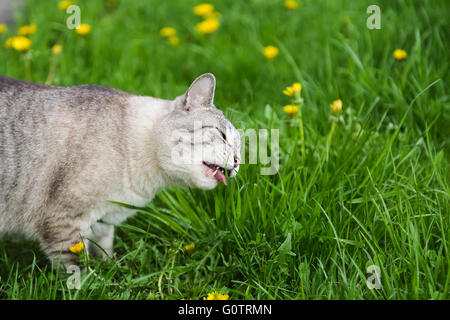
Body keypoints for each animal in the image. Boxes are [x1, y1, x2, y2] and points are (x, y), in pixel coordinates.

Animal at [0, 72, 243, 268]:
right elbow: (77, 271)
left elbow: (105, 253)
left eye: (239, 147)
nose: (237, 162)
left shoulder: (103, 222)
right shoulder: (63, 222)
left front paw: (114, 269)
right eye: (222, 136)